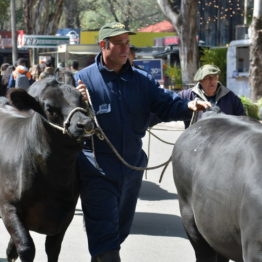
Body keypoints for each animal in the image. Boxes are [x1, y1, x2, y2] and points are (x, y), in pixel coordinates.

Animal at [0, 78, 93, 262]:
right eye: (49, 108)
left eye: (81, 99)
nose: (85, 123)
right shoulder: (8, 206)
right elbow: (26, 247)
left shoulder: (66, 213)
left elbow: (53, 248)